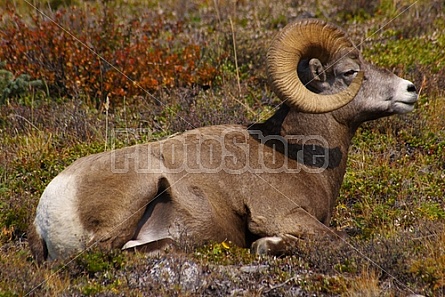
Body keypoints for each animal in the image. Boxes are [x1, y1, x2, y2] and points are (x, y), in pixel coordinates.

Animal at [27, 19, 416, 262]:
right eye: (351, 72)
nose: (410, 90)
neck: (298, 158)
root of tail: (49, 210)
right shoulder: (283, 215)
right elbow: (338, 238)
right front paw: (266, 245)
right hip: (140, 186)